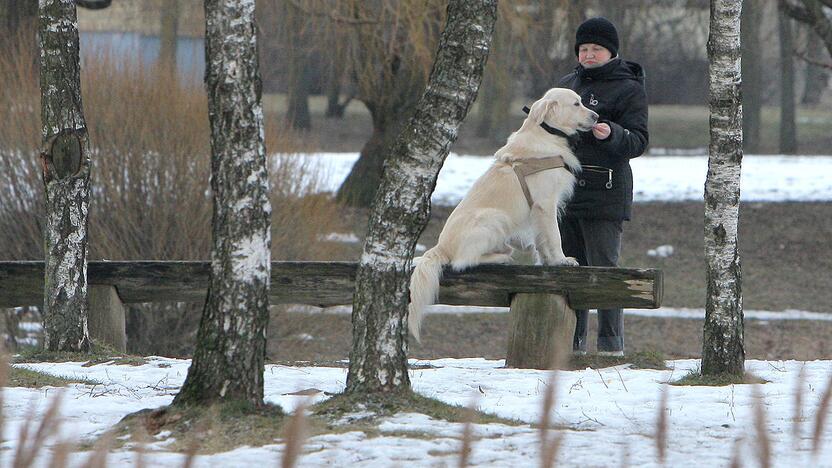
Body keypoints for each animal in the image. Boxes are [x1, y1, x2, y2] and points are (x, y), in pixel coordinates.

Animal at [406, 88, 596, 342]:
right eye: (576, 104)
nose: (597, 116)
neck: (546, 134)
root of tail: (440, 247)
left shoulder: (538, 211)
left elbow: (541, 241)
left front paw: (547, 261)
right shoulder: (545, 204)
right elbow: (554, 236)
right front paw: (562, 260)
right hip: (494, 218)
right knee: (462, 261)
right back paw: (501, 257)